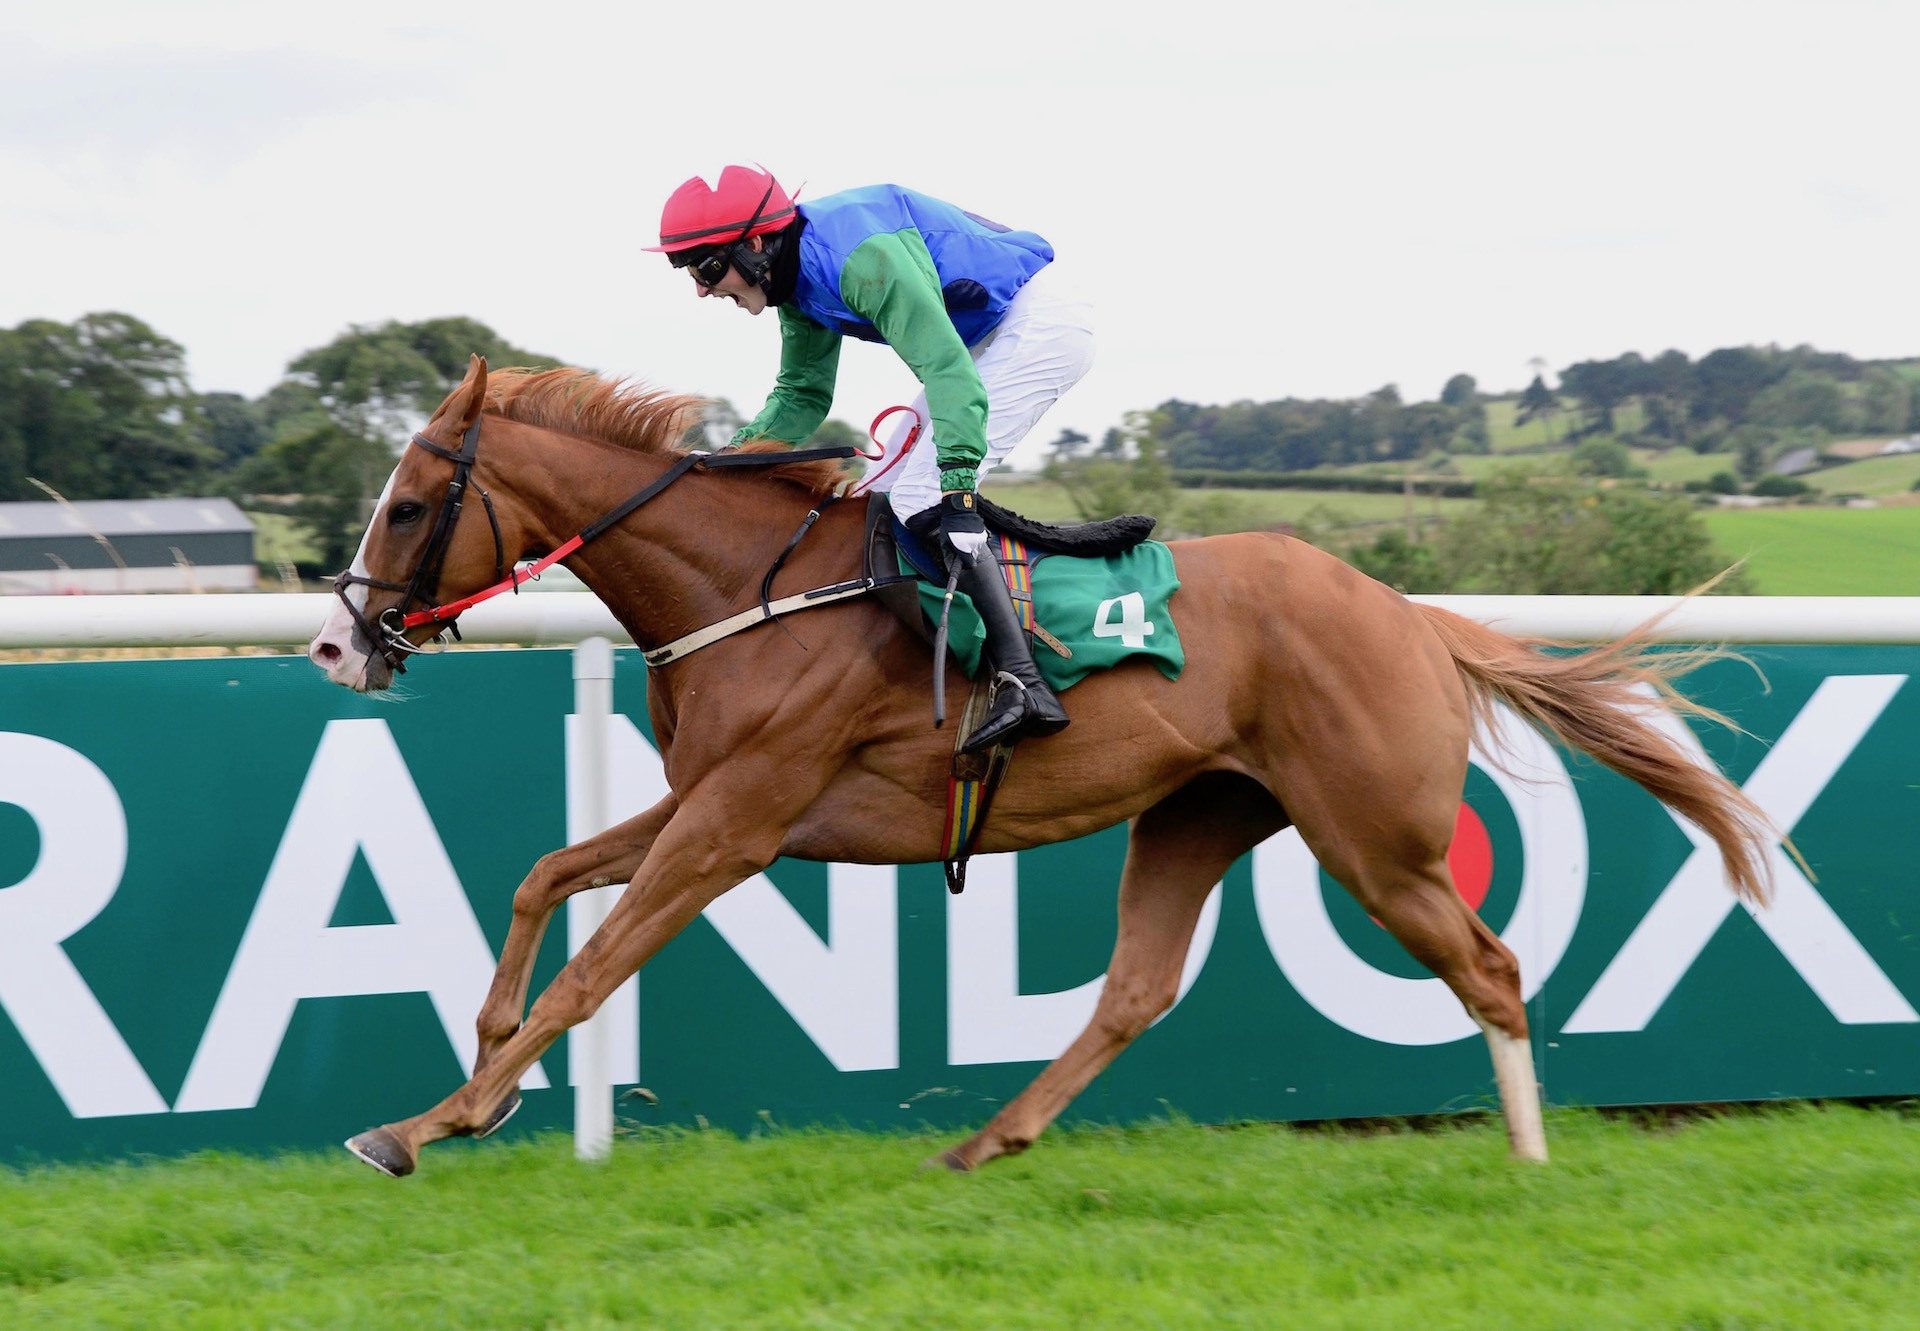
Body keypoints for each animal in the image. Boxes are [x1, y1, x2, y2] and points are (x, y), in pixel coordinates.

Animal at [311, 353, 1766, 1175]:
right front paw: (487, 1075)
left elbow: (596, 964)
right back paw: (988, 1136)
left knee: (1491, 967)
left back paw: (1527, 1159)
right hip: (1200, 813)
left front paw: (427, 1122)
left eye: (411, 502)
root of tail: (1409, 612)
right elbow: (545, 874)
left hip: (1374, 834)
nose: (337, 639)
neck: (747, 588)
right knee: (1135, 987)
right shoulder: (714, 800)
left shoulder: (738, 820)